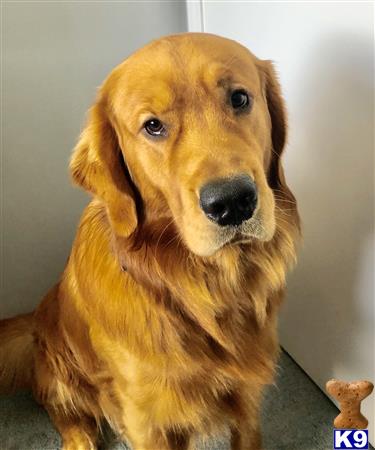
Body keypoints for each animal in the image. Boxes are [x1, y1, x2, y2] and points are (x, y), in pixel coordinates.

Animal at [0, 32, 300, 450]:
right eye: (153, 126)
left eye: (239, 98)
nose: (232, 202)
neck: (202, 288)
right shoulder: (149, 420)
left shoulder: (247, 399)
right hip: (61, 368)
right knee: (60, 407)